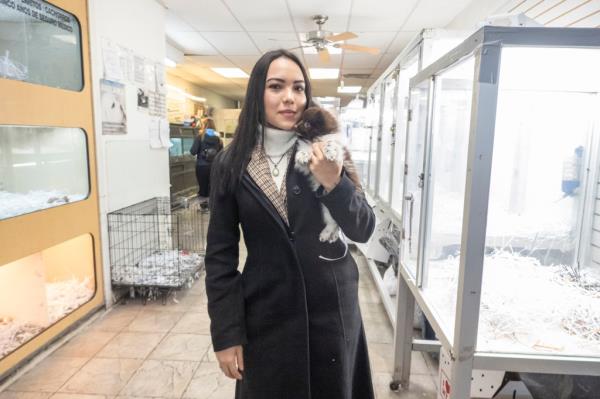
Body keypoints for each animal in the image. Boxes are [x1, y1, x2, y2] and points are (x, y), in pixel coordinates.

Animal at [294, 107, 360, 244]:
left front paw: (330, 152)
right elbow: (304, 154)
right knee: (333, 223)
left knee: (336, 224)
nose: (295, 126)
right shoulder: (306, 168)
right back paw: (328, 234)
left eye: (307, 124)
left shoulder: (340, 152)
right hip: (326, 211)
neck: (315, 139)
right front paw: (302, 156)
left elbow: (331, 143)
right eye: (300, 119)